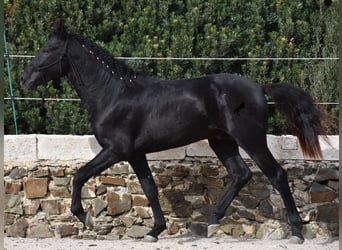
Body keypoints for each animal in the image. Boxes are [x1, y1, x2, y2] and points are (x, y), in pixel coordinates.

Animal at [21, 20, 326, 244]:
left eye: (49, 49)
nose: (25, 78)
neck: (113, 95)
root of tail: (259, 88)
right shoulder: (135, 154)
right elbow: (150, 189)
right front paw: (154, 231)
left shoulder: (116, 150)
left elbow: (80, 175)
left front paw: (85, 217)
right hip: (221, 141)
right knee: (241, 174)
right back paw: (213, 219)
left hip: (250, 139)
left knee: (277, 175)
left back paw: (296, 232)